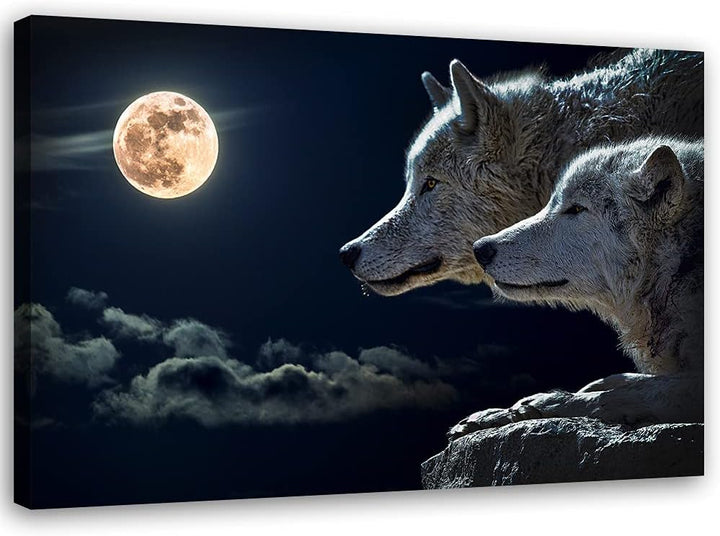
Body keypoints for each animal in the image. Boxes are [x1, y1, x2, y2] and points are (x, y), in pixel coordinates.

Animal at [448, 137, 703, 440]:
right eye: (552, 203)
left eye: (577, 209)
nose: (480, 249)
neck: (677, 267)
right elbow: (618, 380)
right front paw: (498, 413)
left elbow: (618, 394)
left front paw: (537, 405)